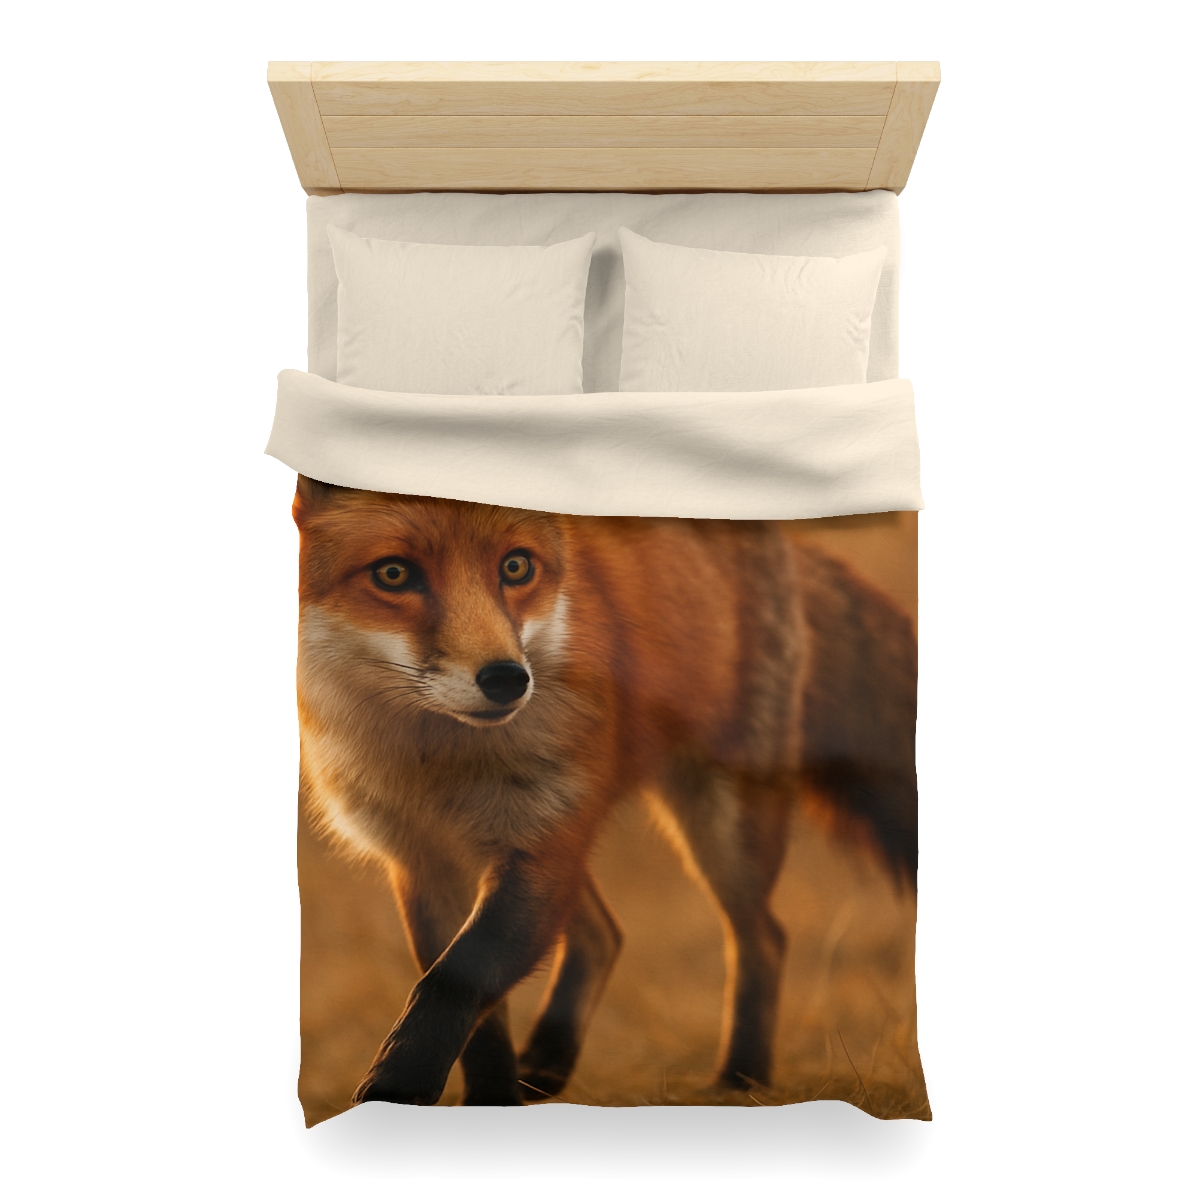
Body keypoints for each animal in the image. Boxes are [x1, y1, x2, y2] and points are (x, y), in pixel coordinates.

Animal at [293, 477, 917, 1107]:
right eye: (393, 574)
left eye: (516, 567)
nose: (507, 680)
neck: (440, 765)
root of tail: (782, 534)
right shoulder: (425, 860)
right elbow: (470, 1002)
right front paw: (491, 1099)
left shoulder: (543, 839)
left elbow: (452, 982)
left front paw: (397, 1085)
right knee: (605, 933)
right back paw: (550, 1060)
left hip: (719, 828)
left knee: (762, 936)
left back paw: (739, 1077)